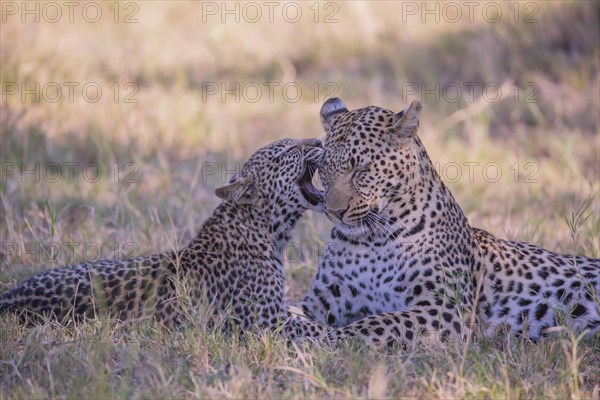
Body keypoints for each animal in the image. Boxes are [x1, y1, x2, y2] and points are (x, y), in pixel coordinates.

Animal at [0, 138, 330, 340]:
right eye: (288, 152)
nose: (319, 142)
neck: (269, 231)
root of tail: (11, 295)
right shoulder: (267, 323)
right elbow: (320, 332)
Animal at [302, 97, 596, 346]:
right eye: (323, 169)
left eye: (361, 170)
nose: (334, 211)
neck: (370, 238)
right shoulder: (323, 297)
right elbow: (294, 311)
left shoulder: (445, 306)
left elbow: (376, 323)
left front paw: (323, 340)